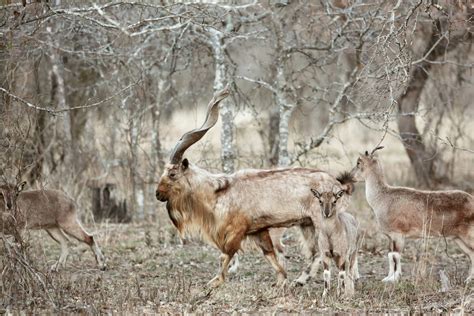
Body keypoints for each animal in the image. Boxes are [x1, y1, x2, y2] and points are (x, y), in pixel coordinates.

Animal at [156, 87, 348, 288]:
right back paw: (301, 280)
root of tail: (338, 185)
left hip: (322, 222)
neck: (219, 191)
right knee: (315, 252)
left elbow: (225, 256)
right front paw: (281, 282)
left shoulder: (236, 232)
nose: (158, 194)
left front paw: (213, 283)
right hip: (307, 225)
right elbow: (272, 258)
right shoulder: (259, 231)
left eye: (172, 174)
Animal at [350, 147, 474, 282]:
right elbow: (390, 256)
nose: (350, 177)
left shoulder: (398, 234)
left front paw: (394, 279)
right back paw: (468, 279)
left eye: (358, 162)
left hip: (468, 235)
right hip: (458, 238)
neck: (382, 199)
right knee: (471, 254)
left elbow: (396, 256)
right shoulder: (390, 237)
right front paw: (387, 278)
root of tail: (472, 200)